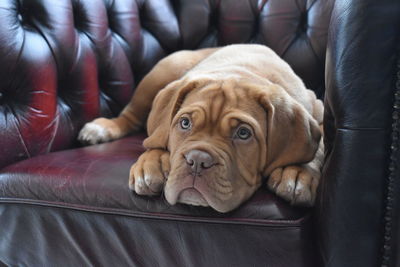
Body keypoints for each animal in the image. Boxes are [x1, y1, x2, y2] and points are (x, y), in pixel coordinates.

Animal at [77, 44, 322, 214]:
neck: (242, 73)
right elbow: (158, 135)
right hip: (166, 69)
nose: (197, 161)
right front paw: (151, 164)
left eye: (243, 133)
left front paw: (298, 172)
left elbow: (319, 146)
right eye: (185, 123)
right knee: (132, 116)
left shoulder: (317, 107)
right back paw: (102, 128)